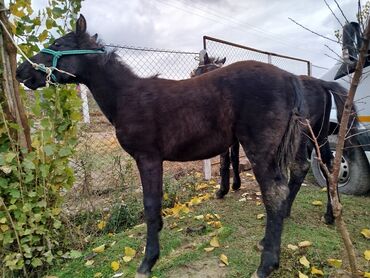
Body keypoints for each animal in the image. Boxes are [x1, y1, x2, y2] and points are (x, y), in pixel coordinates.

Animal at [15, 15, 304, 278]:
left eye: (57, 44)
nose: (21, 71)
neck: (126, 96)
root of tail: (289, 77)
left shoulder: (148, 158)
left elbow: (150, 206)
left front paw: (148, 261)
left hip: (260, 151)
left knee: (274, 195)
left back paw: (266, 264)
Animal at [189, 52, 356, 226]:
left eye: (196, 72)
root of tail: (321, 83)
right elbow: (234, 158)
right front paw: (235, 185)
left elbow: (224, 161)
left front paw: (222, 191)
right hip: (319, 133)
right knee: (329, 164)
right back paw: (331, 214)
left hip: (300, 134)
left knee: (300, 167)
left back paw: (285, 210)